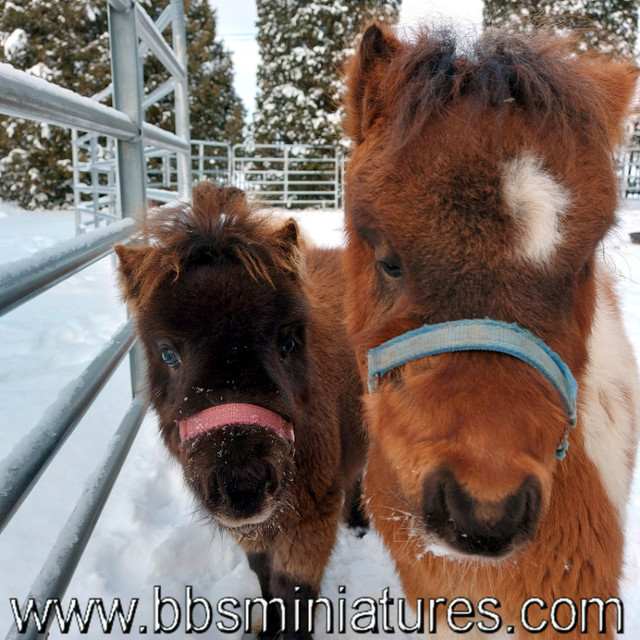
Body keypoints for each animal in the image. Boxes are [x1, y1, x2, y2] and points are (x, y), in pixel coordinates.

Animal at [115, 182, 364, 636]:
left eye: (288, 341)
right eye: (168, 353)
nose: (242, 485)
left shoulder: (312, 520)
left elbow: (294, 593)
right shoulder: (254, 533)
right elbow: (264, 576)